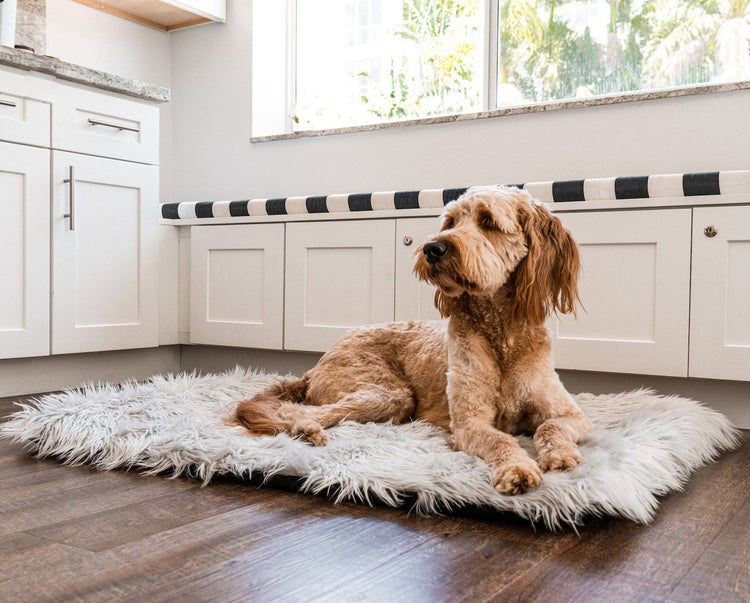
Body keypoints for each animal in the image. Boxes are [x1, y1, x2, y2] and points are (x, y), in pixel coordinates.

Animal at [235, 188, 592, 496]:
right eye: (450, 222)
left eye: (488, 221)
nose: (432, 248)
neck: (501, 334)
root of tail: (319, 361)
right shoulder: (469, 424)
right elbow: (501, 441)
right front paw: (518, 469)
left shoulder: (573, 415)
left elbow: (550, 427)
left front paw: (560, 456)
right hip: (389, 393)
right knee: (297, 409)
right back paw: (306, 429)